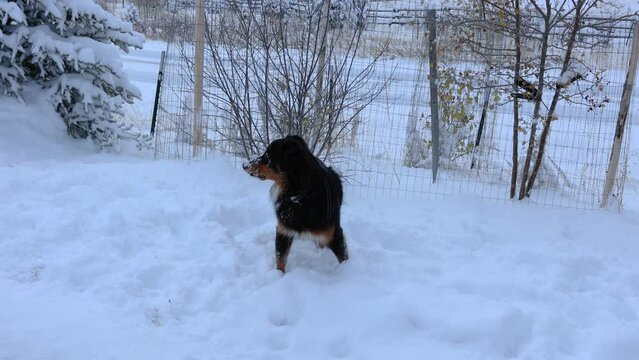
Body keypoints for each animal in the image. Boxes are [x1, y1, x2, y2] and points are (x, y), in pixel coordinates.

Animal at [242, 136, 350, 272]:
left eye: (267, 155)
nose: (244, 165)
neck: (300, 197)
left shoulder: (334, 234)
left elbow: (343, 258)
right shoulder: (283, 230)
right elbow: (280, 261)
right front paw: (278, 275)